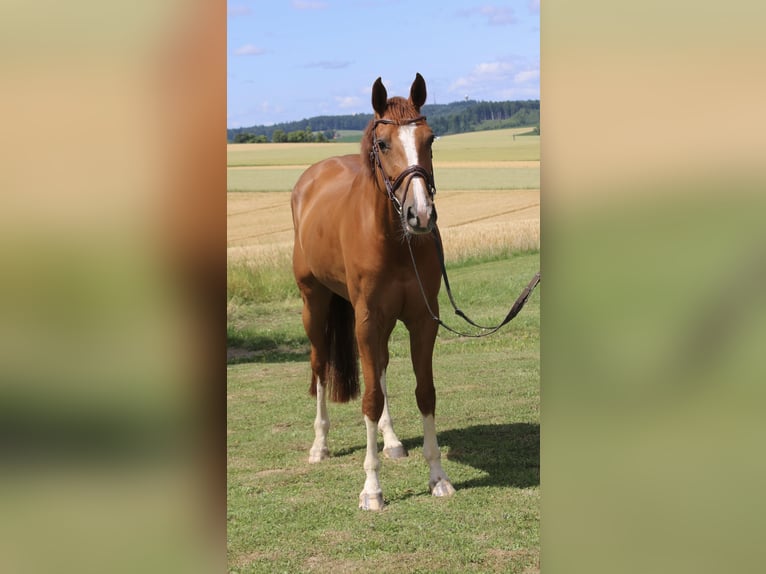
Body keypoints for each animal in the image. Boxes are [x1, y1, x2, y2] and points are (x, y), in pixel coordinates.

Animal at [291, 73, 455, 510]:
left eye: (430, 139)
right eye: (383, 144)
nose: (421, 215)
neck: (395, 242)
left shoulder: (421, 320)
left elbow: (424, 392)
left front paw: (438, 477)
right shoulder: (366, 320)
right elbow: (368, 399)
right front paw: (372, 488)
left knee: (378, 368)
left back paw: (393, 440)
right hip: (314, 305)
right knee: (319, 366)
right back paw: (320, 446)